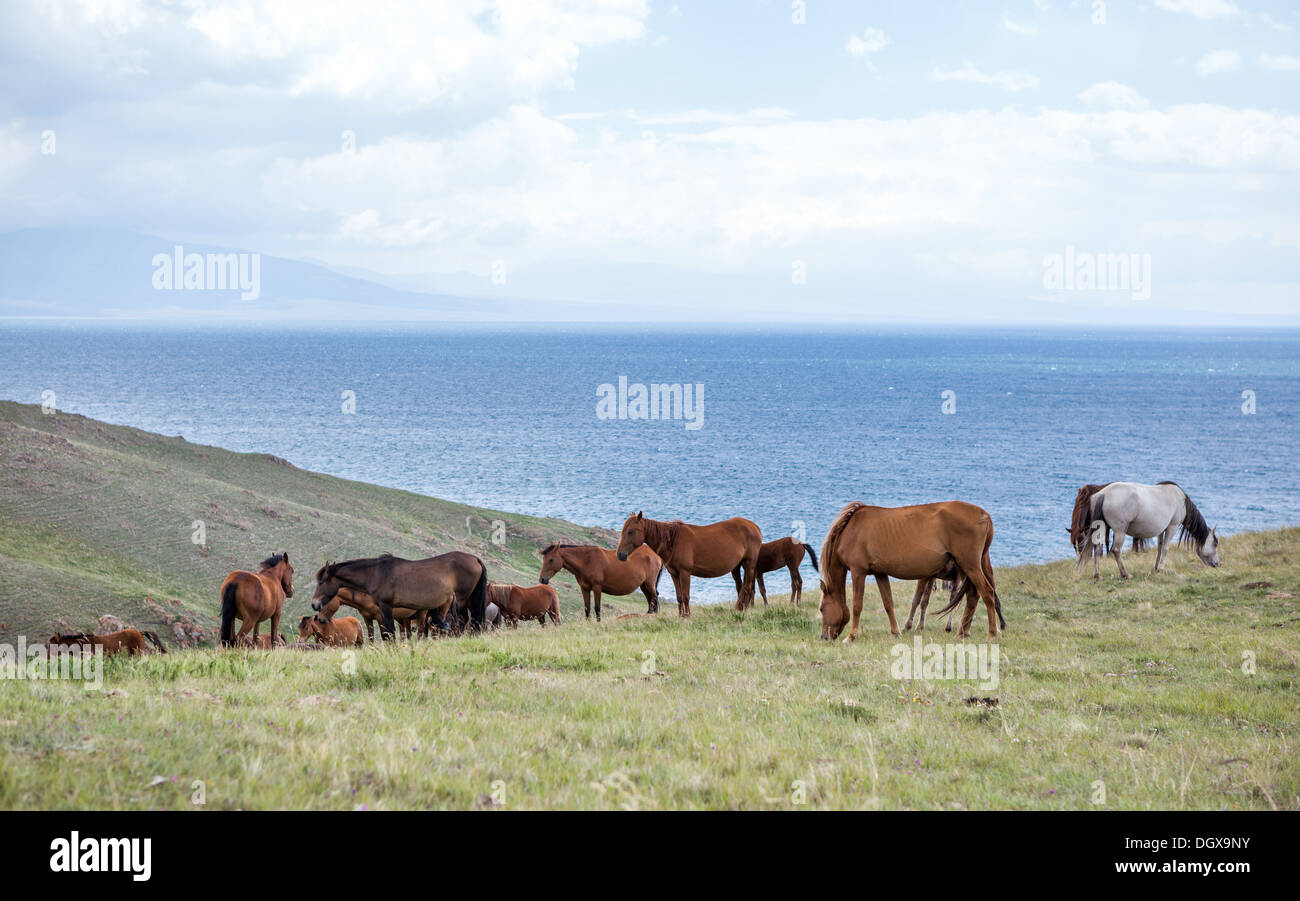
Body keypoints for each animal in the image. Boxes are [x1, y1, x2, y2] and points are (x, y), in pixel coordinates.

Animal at [309, 548, 488, 639]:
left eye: (321, 582)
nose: (314, 604)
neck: (376, 573)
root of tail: (475, 559)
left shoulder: (385, 607)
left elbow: (389, 632)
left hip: (463, 597)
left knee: (463, 619)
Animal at [535, 540, 665, 618]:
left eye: (551, 560)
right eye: (544, 559)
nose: (542, 579)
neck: (587, 561)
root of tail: (655, 554)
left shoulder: (597, 588)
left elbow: (597, 608)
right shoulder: (585, 589)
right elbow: (587, 609)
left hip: (649, 583)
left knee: (654, 597)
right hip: (643, 585)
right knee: (650, 599)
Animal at [616, 509, 759, 616]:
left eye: (630, 532)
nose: (620, 555)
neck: (673, 540)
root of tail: (754, 526)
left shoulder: (685, 573)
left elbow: (686, 596)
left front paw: (687, 616)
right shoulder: (674, 574)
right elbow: (679, 597)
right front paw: (681, 616)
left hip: (749, 564)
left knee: (747, 588)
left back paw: (742, 610)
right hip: (736, 567)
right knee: (741, 587)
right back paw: (740, 609)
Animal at [811, 499, 1003, 639]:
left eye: (822, 609)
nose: (824, 637)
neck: (852, 530)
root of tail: (984, 515)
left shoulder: (858, 572)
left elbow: (857, 605)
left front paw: (851, 636)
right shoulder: (880, 573)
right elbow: (888, 603)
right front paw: (895, 632)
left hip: (970, 566)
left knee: (986, 593)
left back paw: (992, 634)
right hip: (971, 567)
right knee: (973, 596)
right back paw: (962, 633)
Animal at [1076, 481, 1216, 579]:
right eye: (1215, 543)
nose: (1216, 564)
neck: (1181, 501)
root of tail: (1103, 494)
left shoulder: (1162, 530)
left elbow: (1160, 547)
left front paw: (1156, 567)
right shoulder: (1172, 526)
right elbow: (1165, 548)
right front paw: (1161, 569)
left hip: (1102, 527)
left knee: (1097, 548)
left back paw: (1097, 575)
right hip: (1120, 531)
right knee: (1116, 550)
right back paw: (1126, 574)